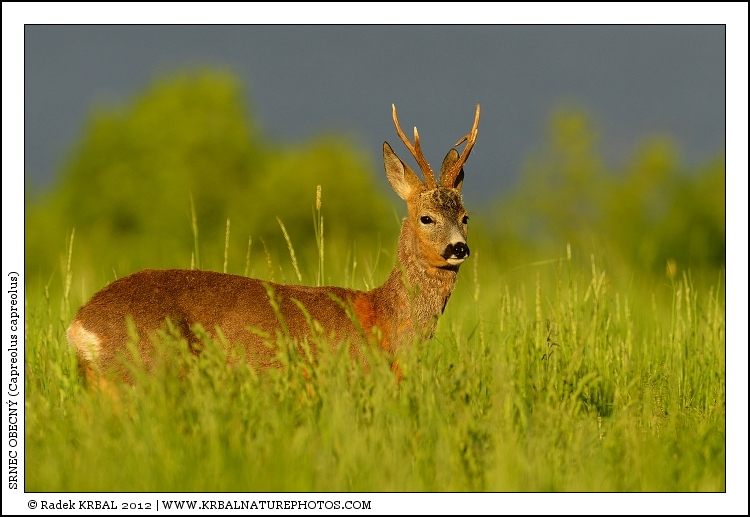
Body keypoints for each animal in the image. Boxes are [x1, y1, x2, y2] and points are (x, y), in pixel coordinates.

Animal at [66, 104, 480, 383]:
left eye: (465, 217)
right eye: (426, 217)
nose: (458, 248)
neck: (384, 320)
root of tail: (78, 328)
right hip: (144, 370)